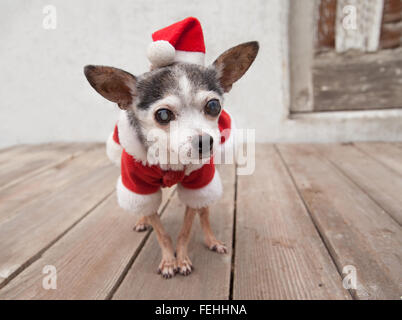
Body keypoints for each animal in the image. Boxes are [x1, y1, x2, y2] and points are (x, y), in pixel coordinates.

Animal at [83, 17, 260, 278]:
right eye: (163, 115)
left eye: (213, 106)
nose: (205, 141)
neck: (171, 160)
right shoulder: (139, 184)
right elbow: (161, 231)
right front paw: (169, 260)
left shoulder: (197, 182)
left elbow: (186, 228)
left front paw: (182, 258)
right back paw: (142, 220)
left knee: (204, 211)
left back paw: (211, 239)